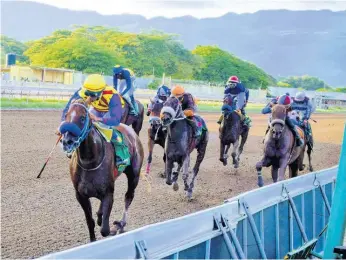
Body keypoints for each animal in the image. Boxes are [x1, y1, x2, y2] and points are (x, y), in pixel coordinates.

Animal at [58, 99, 143, 242]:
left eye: (82, 118)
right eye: (66, 116)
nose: (67, 142)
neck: (89, 162)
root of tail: (132, 133)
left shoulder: (109, 194)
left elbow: (105, 230)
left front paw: (112, 228)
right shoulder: (81, 195)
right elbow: (90, 222)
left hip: (134, 176)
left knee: (128, 197)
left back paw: (120, 224)